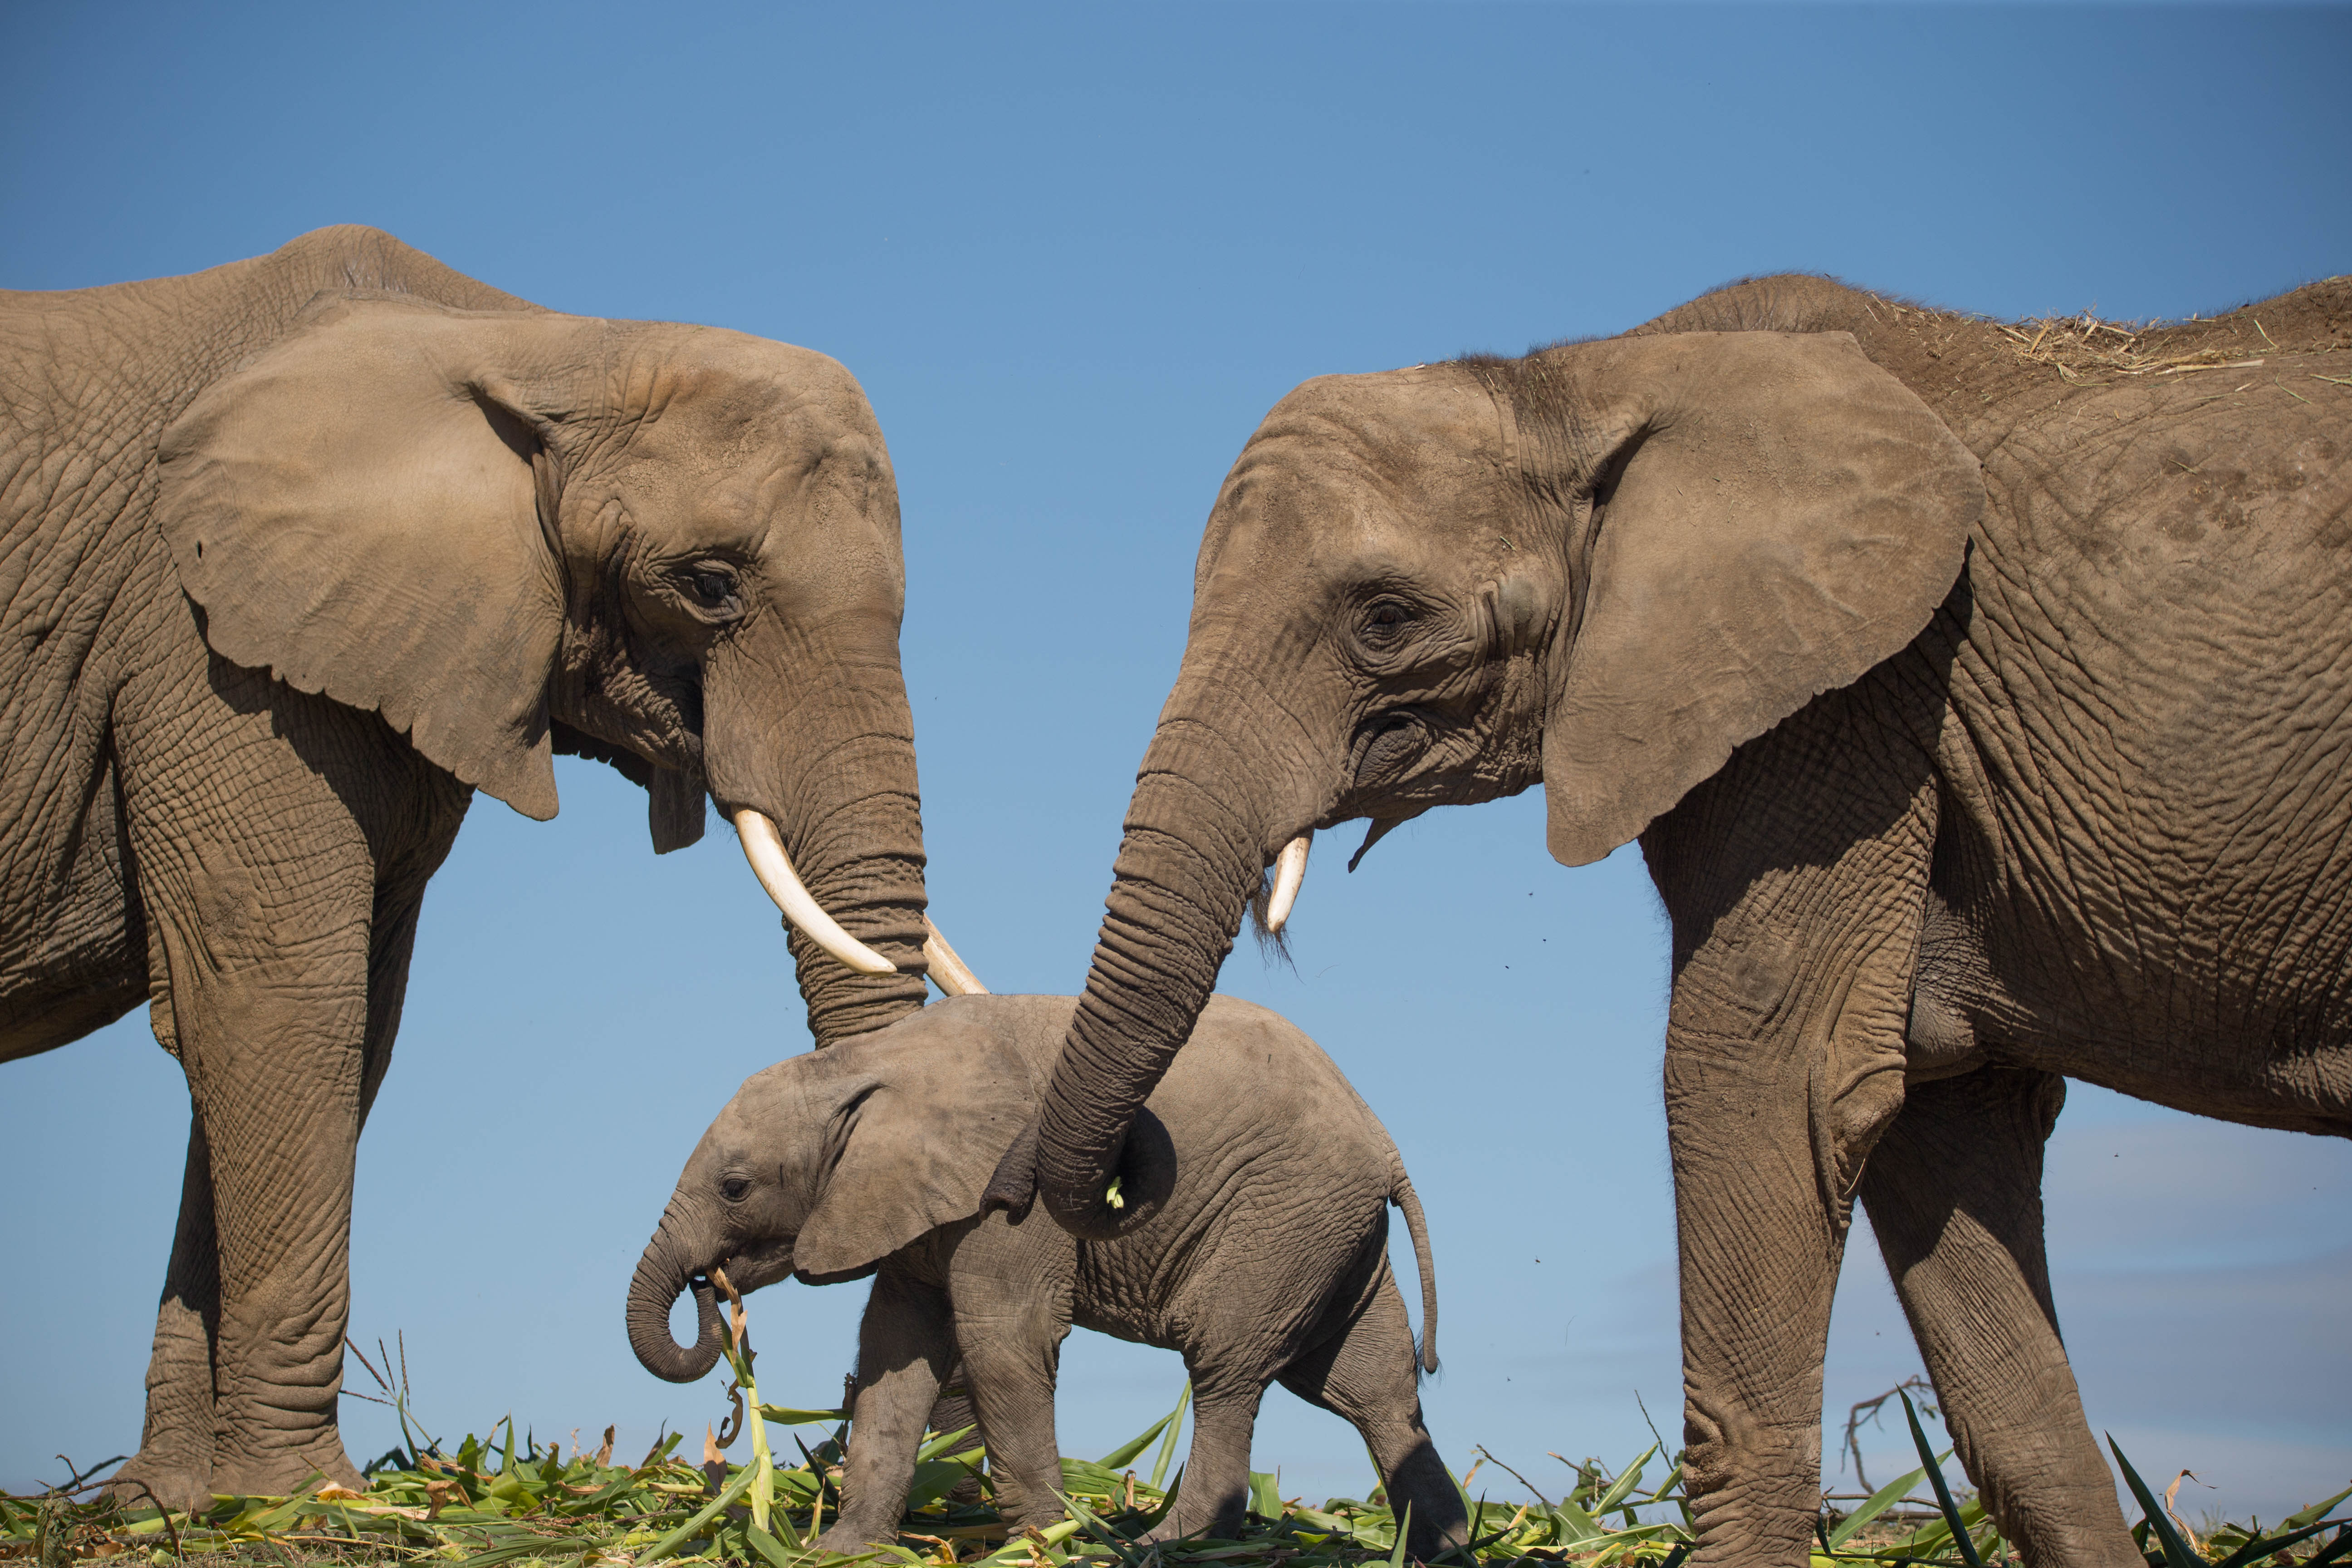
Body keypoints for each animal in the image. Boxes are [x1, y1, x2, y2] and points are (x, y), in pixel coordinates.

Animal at [0, 227, 978, 1508]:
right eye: (710, 585)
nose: (723, 1312)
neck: (538, 338)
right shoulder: (199, 640)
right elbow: (281, 1006)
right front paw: (298, 1499)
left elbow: (339, 1028)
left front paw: (177, 1504)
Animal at [629, 992, 1471, 1558]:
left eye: (735, 1188)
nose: (712, 1289)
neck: (865, 1062)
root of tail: (1385, 1146)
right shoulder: (906, 1205)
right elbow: (894, 1353)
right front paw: (841, 1553)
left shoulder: (1005, 1200)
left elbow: (1004, 1340)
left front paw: (1046, 1539)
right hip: (1329, 1236)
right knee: (1369, 1387)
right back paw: (1444, 1545)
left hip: (1279, 1223)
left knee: (1227, 1367)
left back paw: (1166, 1541)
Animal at [988, 274, 2352, 1565]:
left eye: (1383, 618)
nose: (1030, 1191)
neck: (1590, 377)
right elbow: (1945, 1142)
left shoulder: (1842, 701)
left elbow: (1764, 1078)